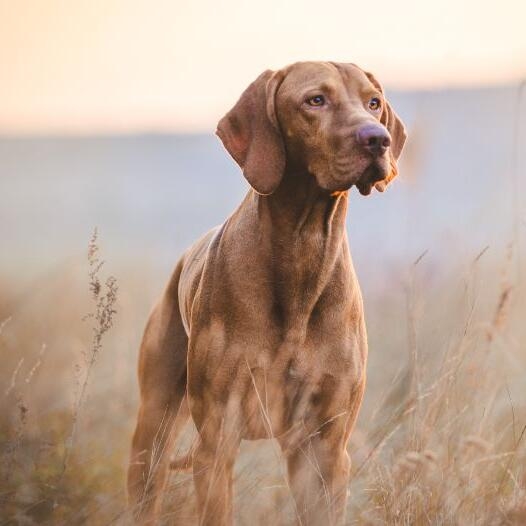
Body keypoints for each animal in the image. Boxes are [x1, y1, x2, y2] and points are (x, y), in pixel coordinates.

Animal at [129, 63, 408, 526]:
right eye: (315, 100)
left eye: (373, 102)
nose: (378, 139)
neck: (303, 250)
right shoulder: (217, 440)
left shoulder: (325, 450)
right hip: (153, 429)